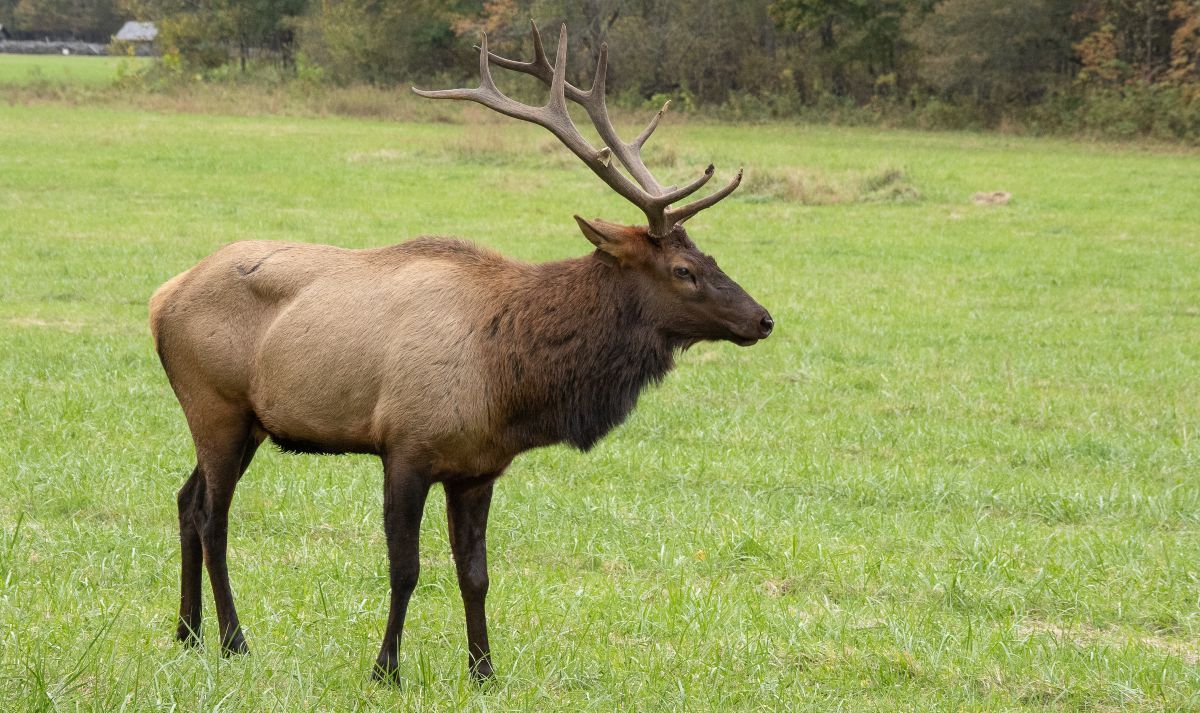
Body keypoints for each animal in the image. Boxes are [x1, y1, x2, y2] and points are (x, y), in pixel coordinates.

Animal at [149, 22, 773, 683]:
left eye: (710, 258)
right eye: (684, 270)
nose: (762, 319)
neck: (509, 381)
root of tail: (162, 298)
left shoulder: (478, 467)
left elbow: (475, 574)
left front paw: (484, 671)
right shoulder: (405, 445)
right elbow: (406, 569)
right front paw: (386, 670)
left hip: (249, 423)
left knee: (187, 500)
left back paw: (187, 632)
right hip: (216, 405)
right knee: (213, 517)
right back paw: (233, 639)